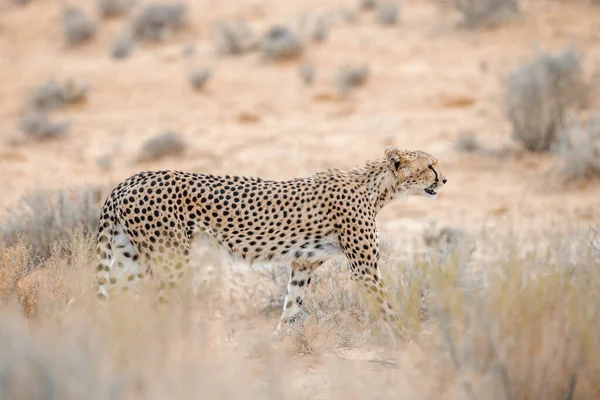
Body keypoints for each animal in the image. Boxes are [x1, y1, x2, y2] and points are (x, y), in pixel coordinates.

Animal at [95, 147, 446, 338]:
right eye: (430, 165)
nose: (444, 179)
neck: (378, 189)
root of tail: (129, 180)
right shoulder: (365, 268)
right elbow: (387, 307)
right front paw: (407, 342)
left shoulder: (303, 263)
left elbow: (292, 305)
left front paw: (281, 343)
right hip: (169, 258)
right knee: (157, 304)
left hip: (130, 257)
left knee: (111, 298)